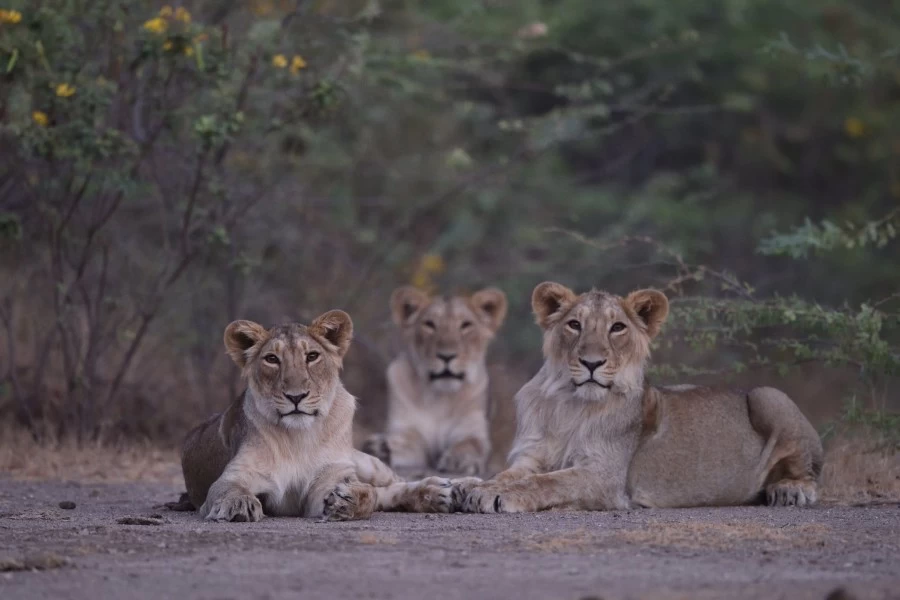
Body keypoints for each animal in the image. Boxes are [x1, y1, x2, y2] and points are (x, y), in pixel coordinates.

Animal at [180, 310, 454, 520]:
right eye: (272, 359)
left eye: (312, 356)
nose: (296, 396)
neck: (298, 437)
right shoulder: (237, 473)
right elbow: (228, 488)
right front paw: (238, 503)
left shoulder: (331, 476)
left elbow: (369, 493)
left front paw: (348, 500)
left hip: (364, 461)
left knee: (392, 482)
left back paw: (444, 489)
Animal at [362, 284, 510, 476]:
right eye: (429, 324)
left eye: (466, 325)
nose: (446, 356)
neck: (440, 399)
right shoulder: (408, 431)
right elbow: (407, 444)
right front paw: (381, 448)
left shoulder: (472, 431)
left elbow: (470, 445)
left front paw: (458, 460)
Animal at [458, 284, 824, 512]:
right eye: (574, 325)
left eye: (617, 328)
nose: (592, 363)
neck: (571, 405)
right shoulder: (531, 456)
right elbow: (514, 474)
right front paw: (472, 485)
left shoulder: (605, 476)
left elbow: (545, 483)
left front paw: (495, 495)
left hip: (769, 395)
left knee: (810, 472)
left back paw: (790, 490)